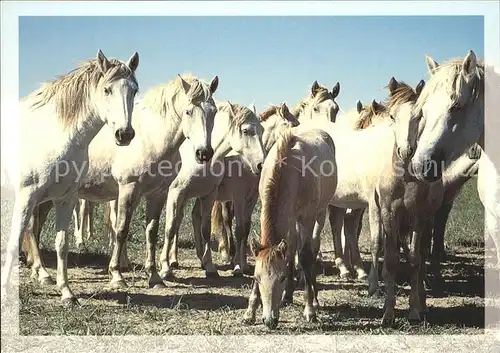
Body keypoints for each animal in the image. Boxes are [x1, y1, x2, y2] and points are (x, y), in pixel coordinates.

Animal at [0, 48, 139, 304]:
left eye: (134, 90)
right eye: (107, 89)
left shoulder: (66, 197)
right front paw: (5, 292)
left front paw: (66, 292)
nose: (124, 134)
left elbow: (62, 244)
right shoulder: (26, 197)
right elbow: (14, 241)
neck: (55, 134)